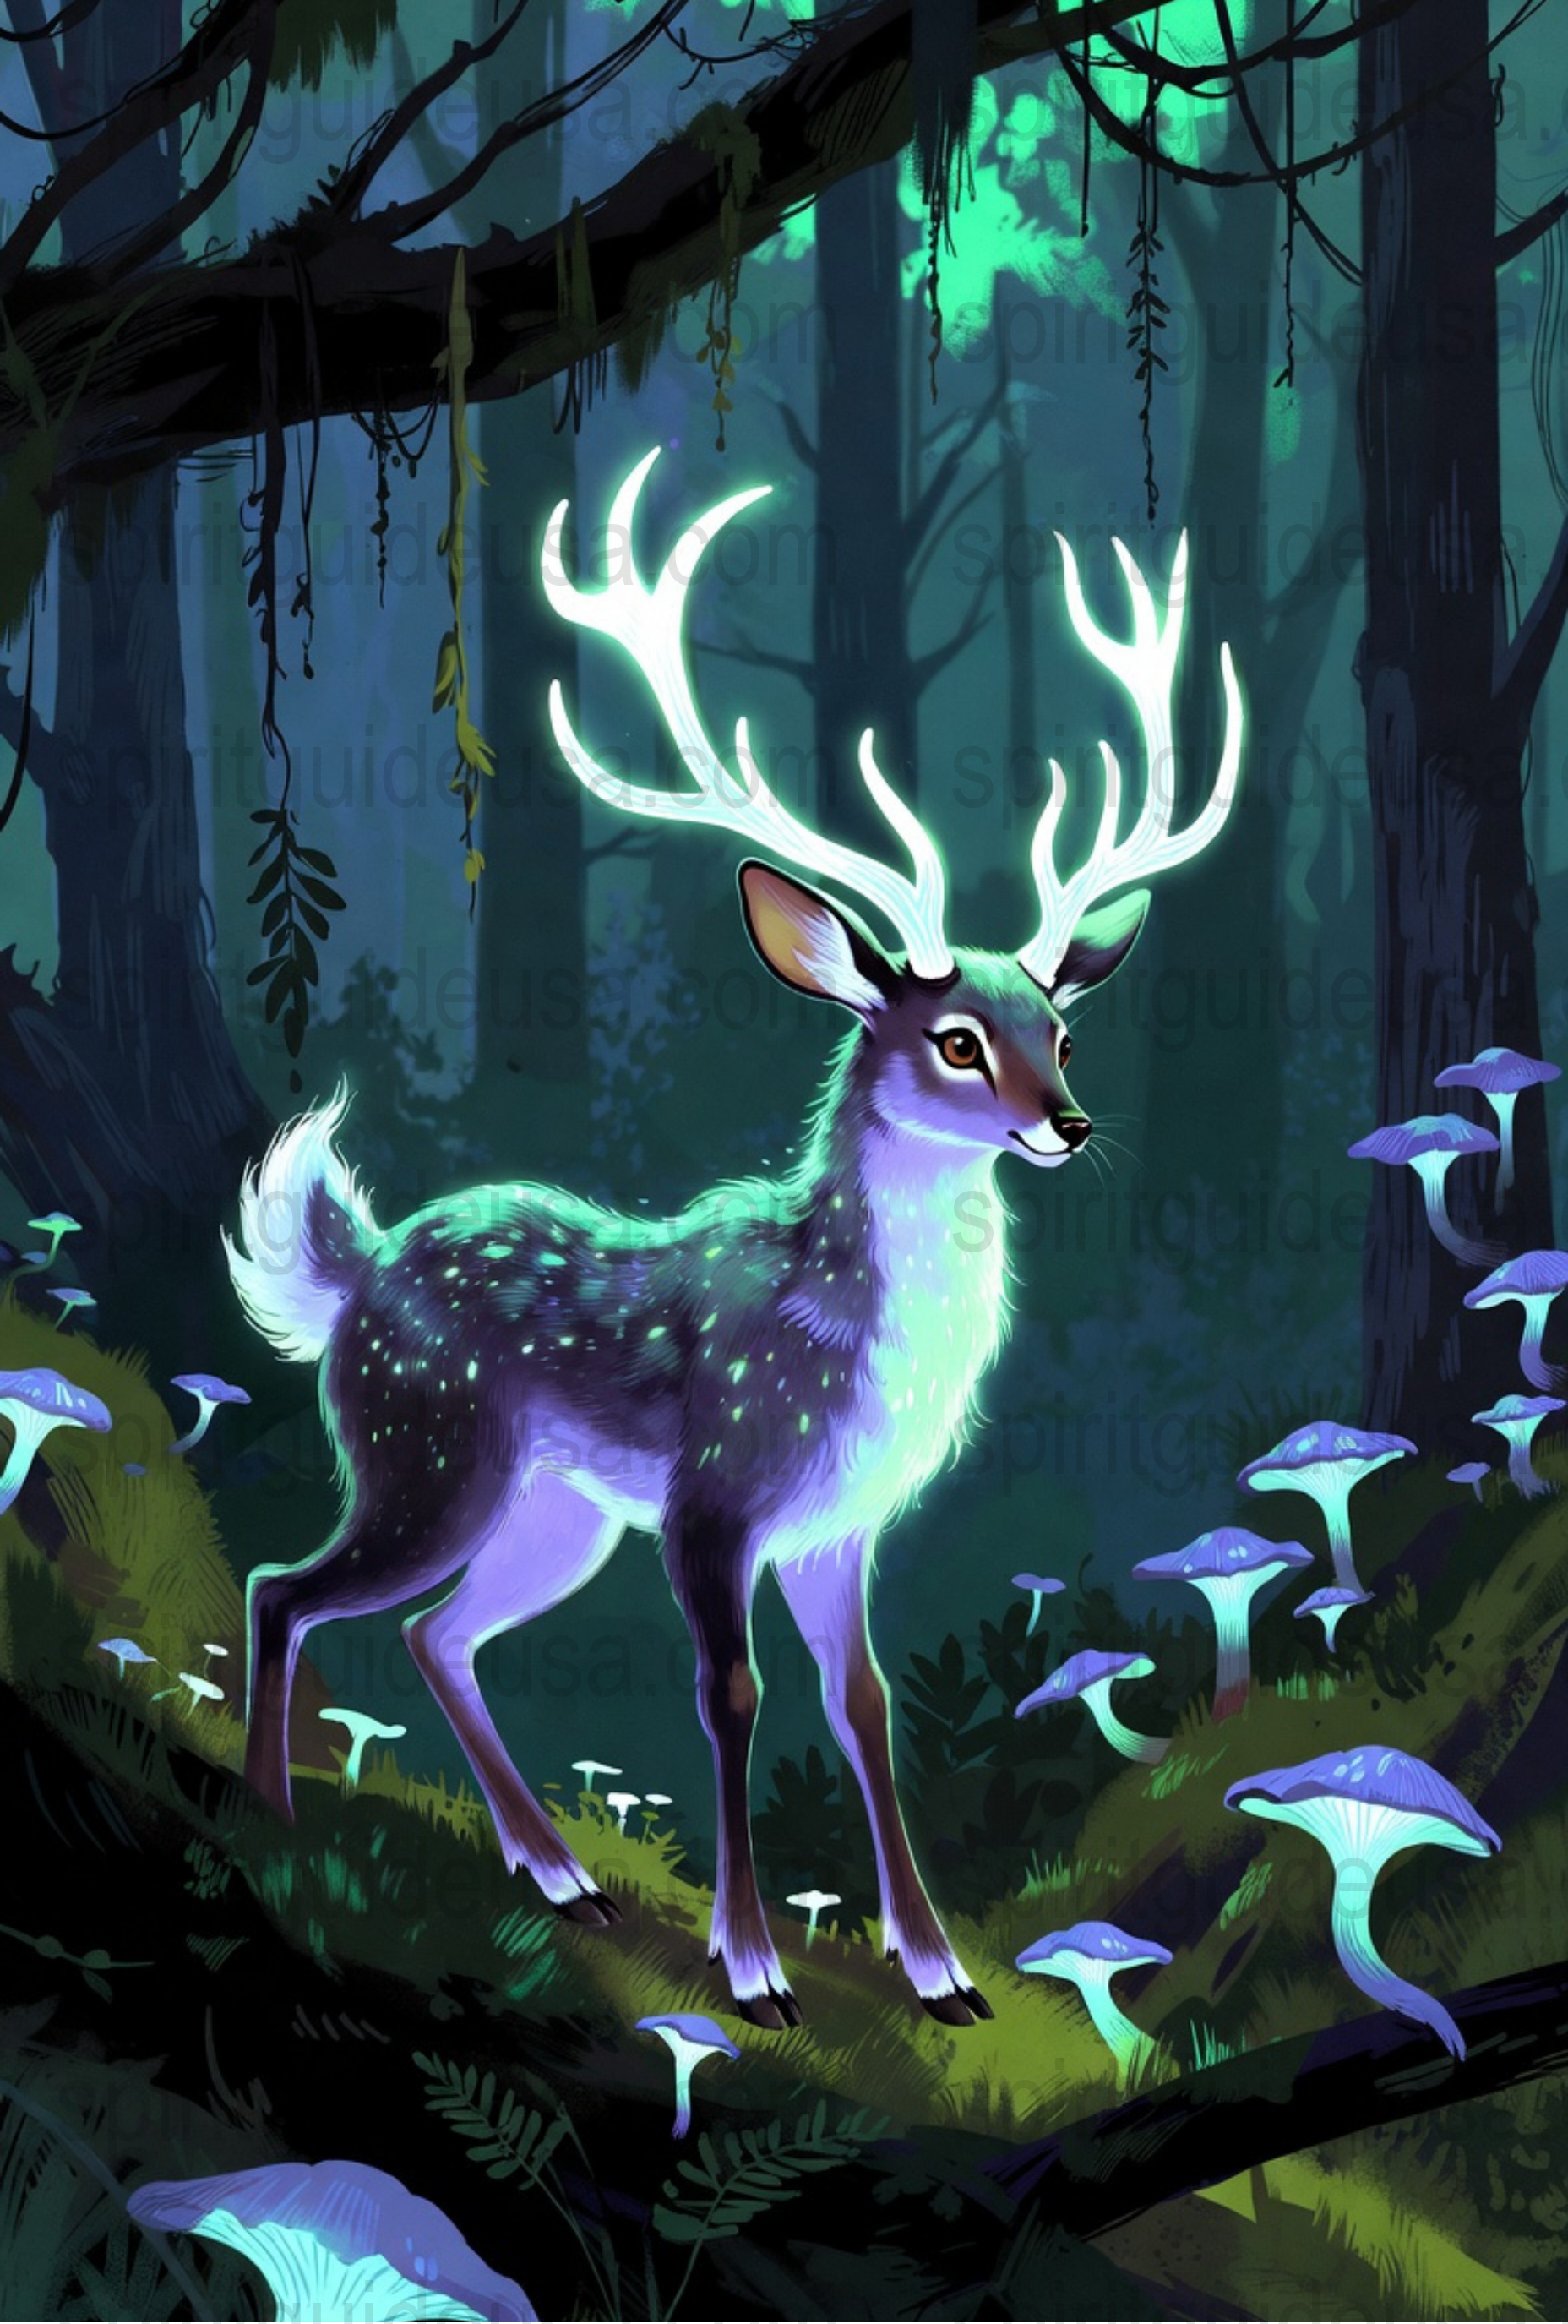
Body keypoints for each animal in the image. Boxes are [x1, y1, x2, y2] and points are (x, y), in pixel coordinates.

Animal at [227, 448, 1241, 2028]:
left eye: (1060, 1028)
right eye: (955, 1038)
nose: (1068, 1123)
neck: (860, 1355)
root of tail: (354, 1276)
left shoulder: (845, 1523)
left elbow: (864, 1701)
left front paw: (940, 1970)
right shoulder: (715, 1500)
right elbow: (734, 1694)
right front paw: (754, 1967)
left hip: (555, 1512)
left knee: (432, 1631)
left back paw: (557, 1872)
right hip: (425, 1453)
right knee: (291, 1590)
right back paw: (277, 1815)